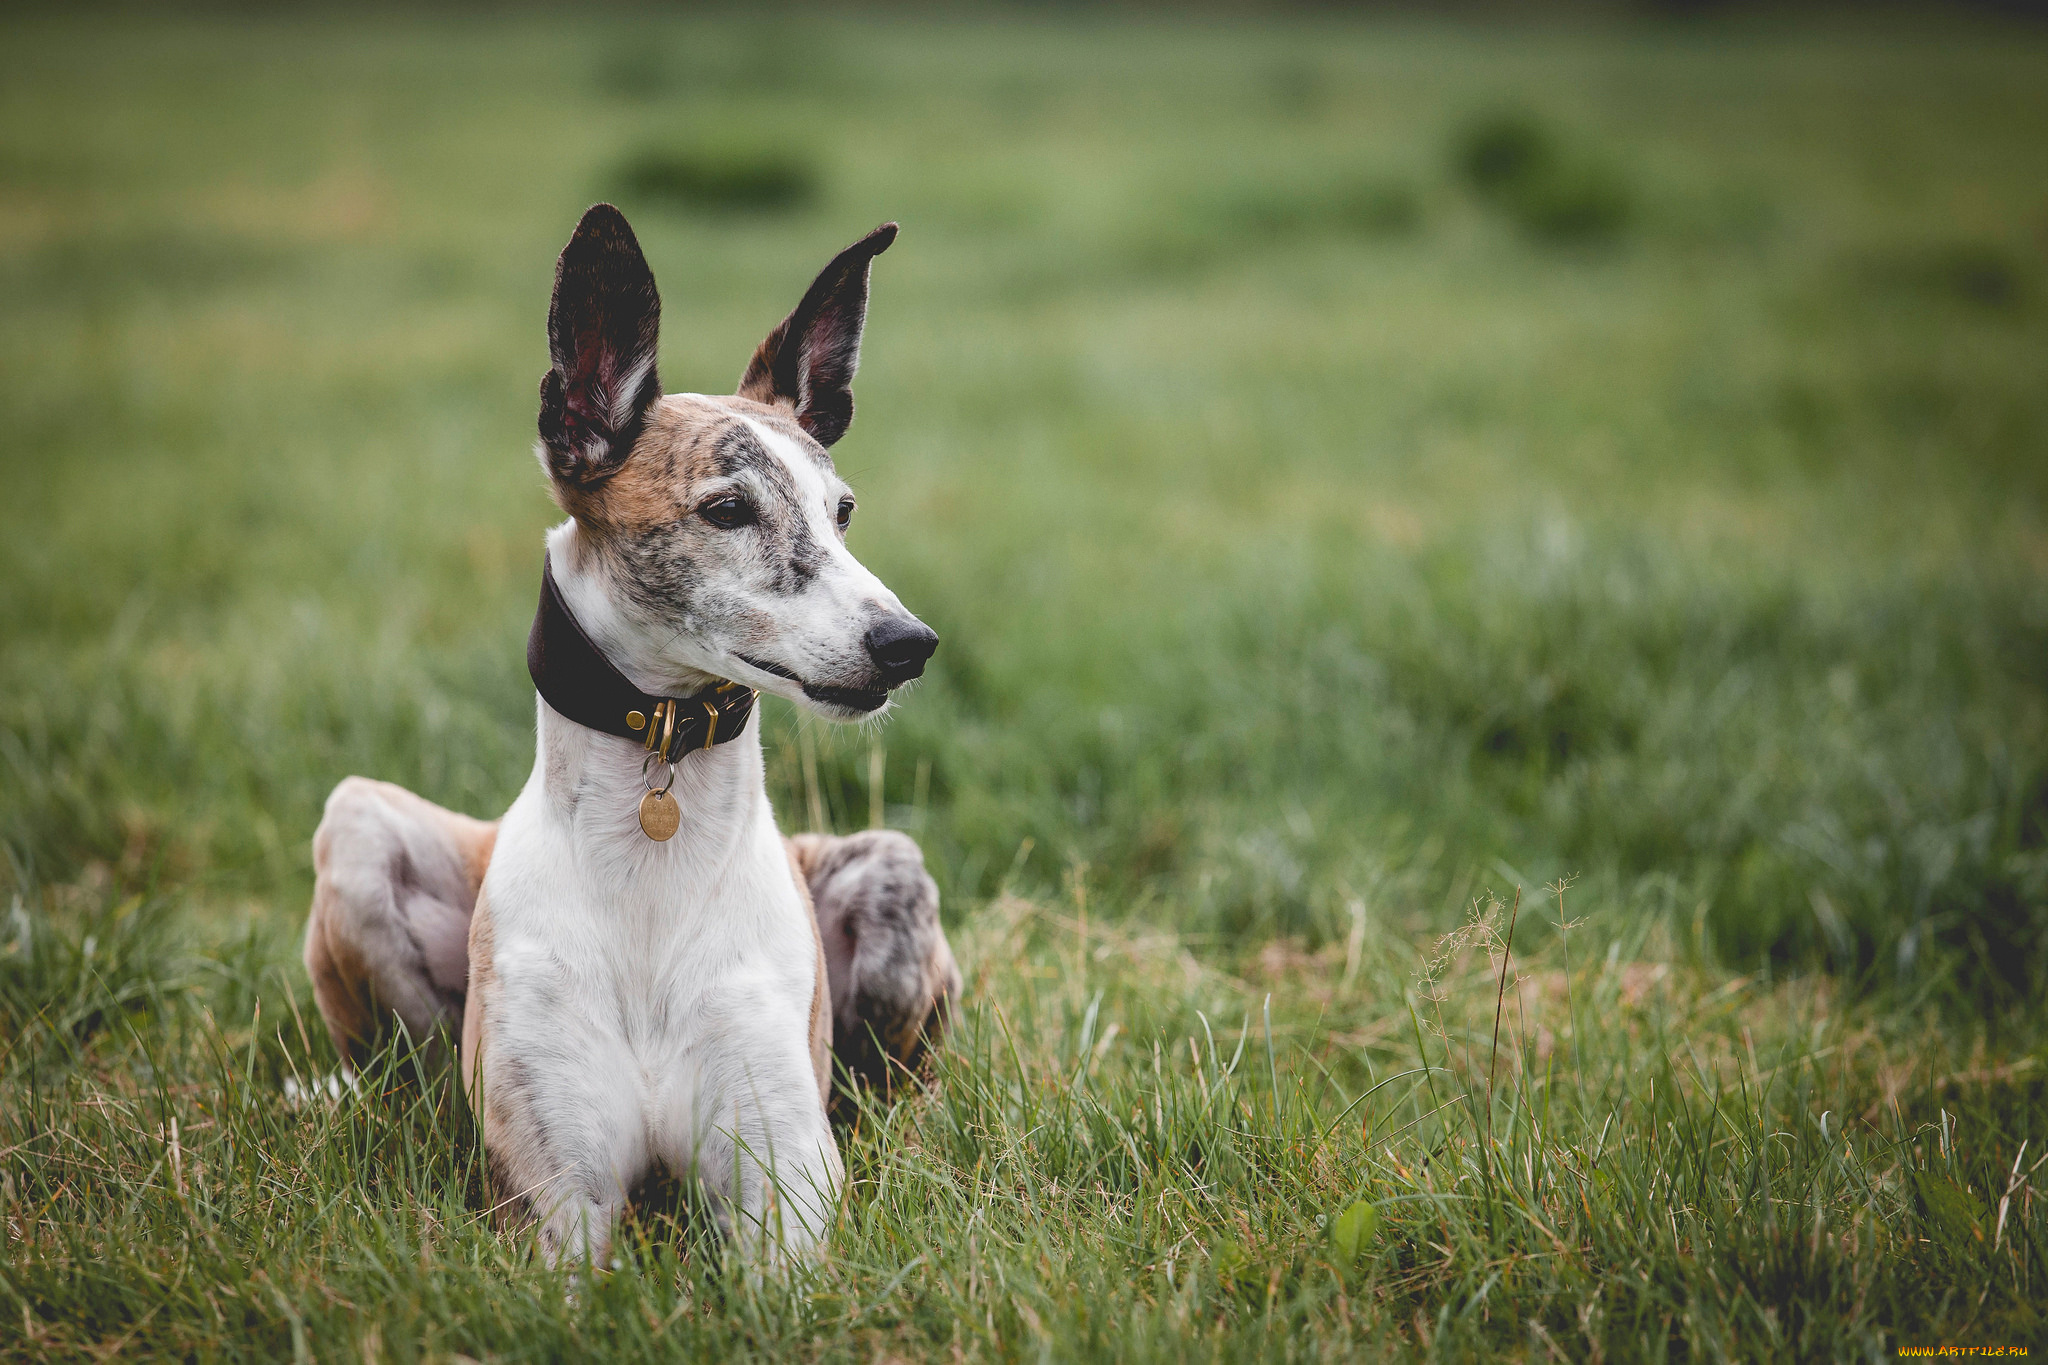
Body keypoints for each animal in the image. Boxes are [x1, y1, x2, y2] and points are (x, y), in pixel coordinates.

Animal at [299, 205, 962, 1268]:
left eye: (844, 511)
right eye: (727, 509)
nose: (908, 645)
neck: (654, 863)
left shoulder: (786, 1184)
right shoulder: (553, 1196)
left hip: (893, 876)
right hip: (356, 829)